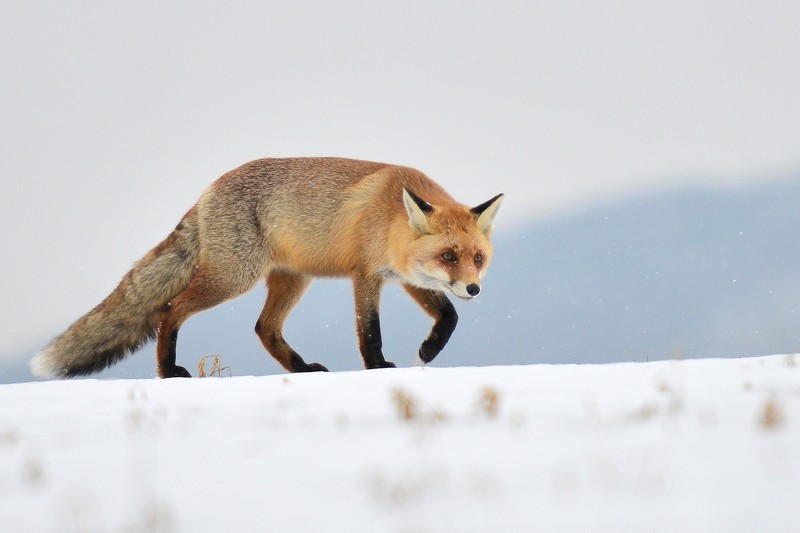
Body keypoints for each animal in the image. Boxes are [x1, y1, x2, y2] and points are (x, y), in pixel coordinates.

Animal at [31, 157, 504, 379]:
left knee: (264, 329)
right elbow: (369, 330)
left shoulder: (406, 277)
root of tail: (209, 189)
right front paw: (378, 367)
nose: (475, 288)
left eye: (477, 258)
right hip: (233, 278)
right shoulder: (366, 275)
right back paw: (168, 372)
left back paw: (302, 370)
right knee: (169, 309)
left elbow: (450, 316)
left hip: (292, 280)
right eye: (449, 256)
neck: (390, 218)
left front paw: (429, 351)